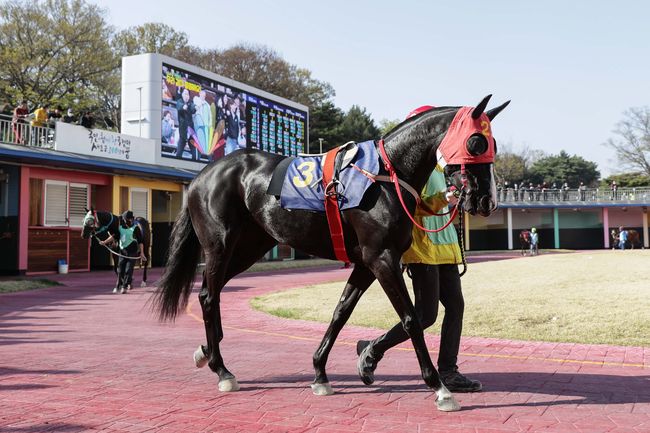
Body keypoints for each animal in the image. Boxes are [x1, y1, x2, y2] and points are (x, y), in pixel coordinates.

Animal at [154, 95, 508, 412]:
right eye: (476, 142)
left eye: (492, 144)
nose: (486, 200)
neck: (385, 176)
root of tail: (201, 176)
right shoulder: (382, 258)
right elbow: (410, 319)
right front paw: (440, 388)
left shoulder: (366, 263)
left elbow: (341, 313)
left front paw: (320, 372)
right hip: (221, 244)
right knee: (208, 295)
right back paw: (222, 369)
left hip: (251, 247)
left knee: (209, 292)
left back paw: (207, 350)